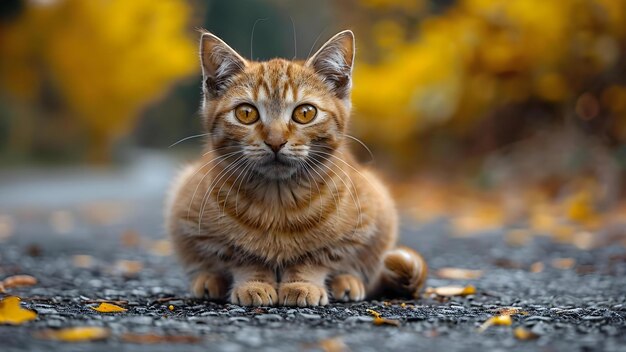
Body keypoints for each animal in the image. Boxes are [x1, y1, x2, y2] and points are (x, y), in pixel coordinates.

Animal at [163, 29, 426, 306]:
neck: (278, 201)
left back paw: (348, 282)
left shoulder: (367, 218)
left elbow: (318, 256)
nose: (275, 141)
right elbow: (241, 256)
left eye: (305, 113)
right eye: (246, 113)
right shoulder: (188, 217)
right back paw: (209, 280)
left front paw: (302, 284)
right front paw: (253, 283)